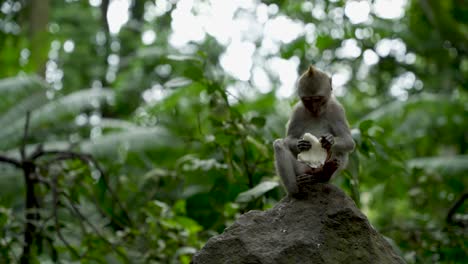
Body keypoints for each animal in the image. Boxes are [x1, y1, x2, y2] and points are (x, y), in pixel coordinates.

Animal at [270, 65, 354, 195]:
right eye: (308, 100)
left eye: (318, 99)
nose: (314, 108)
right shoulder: (297, 111)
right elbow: (288, 139)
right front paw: (301, 144)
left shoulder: (337, 109)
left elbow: (349, 141)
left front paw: (329, 141)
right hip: (302, 169)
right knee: (279, 144)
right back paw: (295, 189)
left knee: (341, 150)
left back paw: (325, 174)